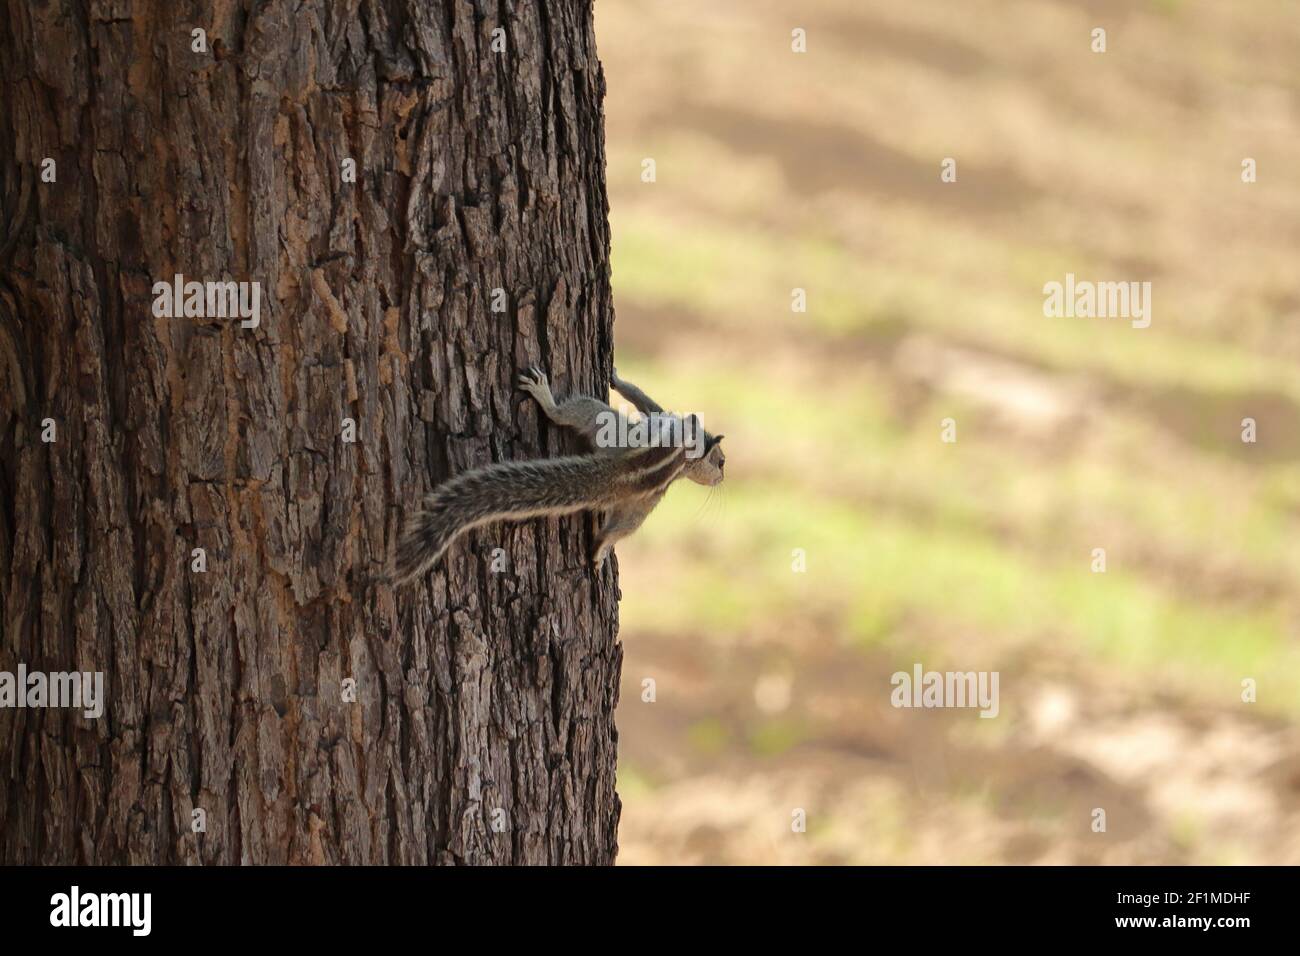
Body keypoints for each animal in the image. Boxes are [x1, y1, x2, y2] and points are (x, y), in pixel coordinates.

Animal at [391, 366, 726, 583]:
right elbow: (642, 399)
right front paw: (617, 379)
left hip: (609, 435)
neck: (682, 458)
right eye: (721, 462)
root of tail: (621, 472)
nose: (721, 478)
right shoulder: (665, 416)